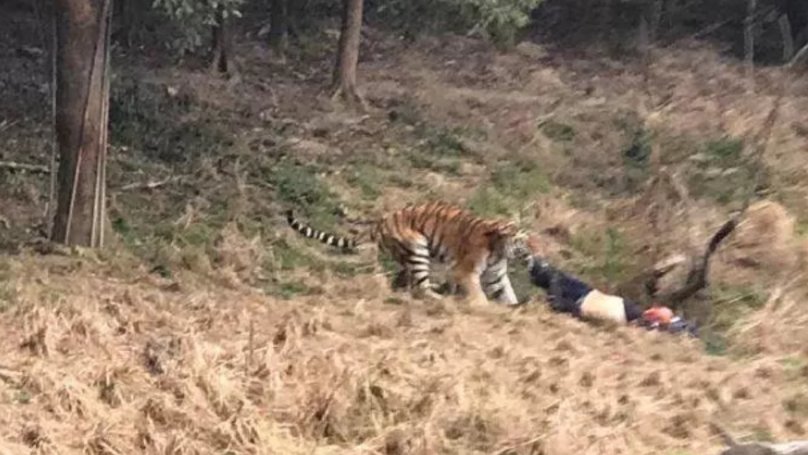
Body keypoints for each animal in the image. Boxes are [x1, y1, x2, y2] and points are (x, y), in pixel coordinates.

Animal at [285, 201, 527, 306]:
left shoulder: (495, 274)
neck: (499, 249)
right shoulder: (465, 271)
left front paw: (513, 307)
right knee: (421, 287)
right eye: (523, 241)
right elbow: (478, 293)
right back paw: (439, 298)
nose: (531, 252)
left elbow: (506, 293)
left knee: (404, 280)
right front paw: (483, 307)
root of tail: (380, 222)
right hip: (418, 246)